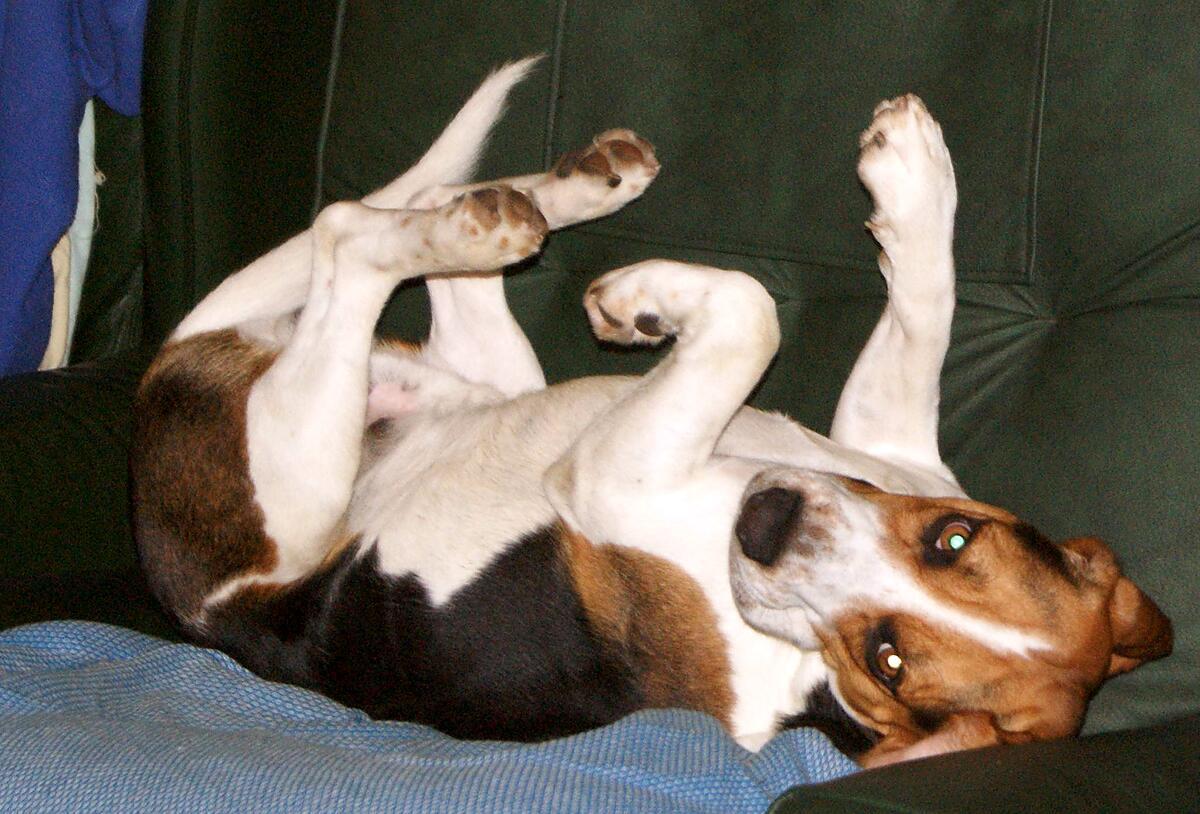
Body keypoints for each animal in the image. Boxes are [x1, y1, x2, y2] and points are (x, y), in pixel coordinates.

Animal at [131, 60, 1171, 768]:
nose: (768, 520)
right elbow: (920, 308)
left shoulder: (615, 472)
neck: (800, 666)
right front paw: (914, 182)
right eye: (954, 540)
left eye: (889, 662)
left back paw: (495, 218)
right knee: (419, 209)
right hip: (473, 387)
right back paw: (575, 185)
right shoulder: (884, 446)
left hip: (292, 471)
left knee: (351, 236)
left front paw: (648, 297)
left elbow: (750, 309)